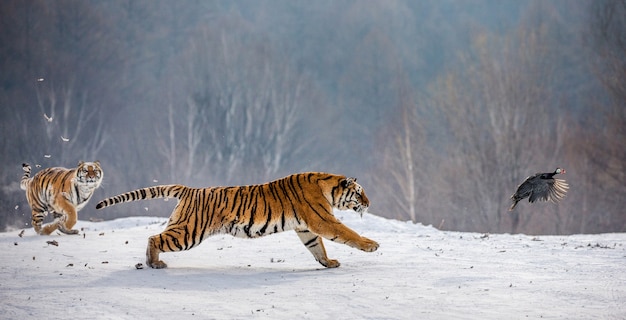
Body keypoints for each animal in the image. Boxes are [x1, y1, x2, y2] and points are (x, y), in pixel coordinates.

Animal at [95, 172, 378, 268]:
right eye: (360, 192)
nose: (369, 203)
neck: (328, 187)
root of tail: (189, 189)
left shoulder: (306, 228)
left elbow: (317, 247)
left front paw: (328, 263)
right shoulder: (323, 221)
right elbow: (348, 234)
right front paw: (372, 245)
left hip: (183, 228)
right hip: (188, 233)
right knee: (154, 237)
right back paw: (154, 263)